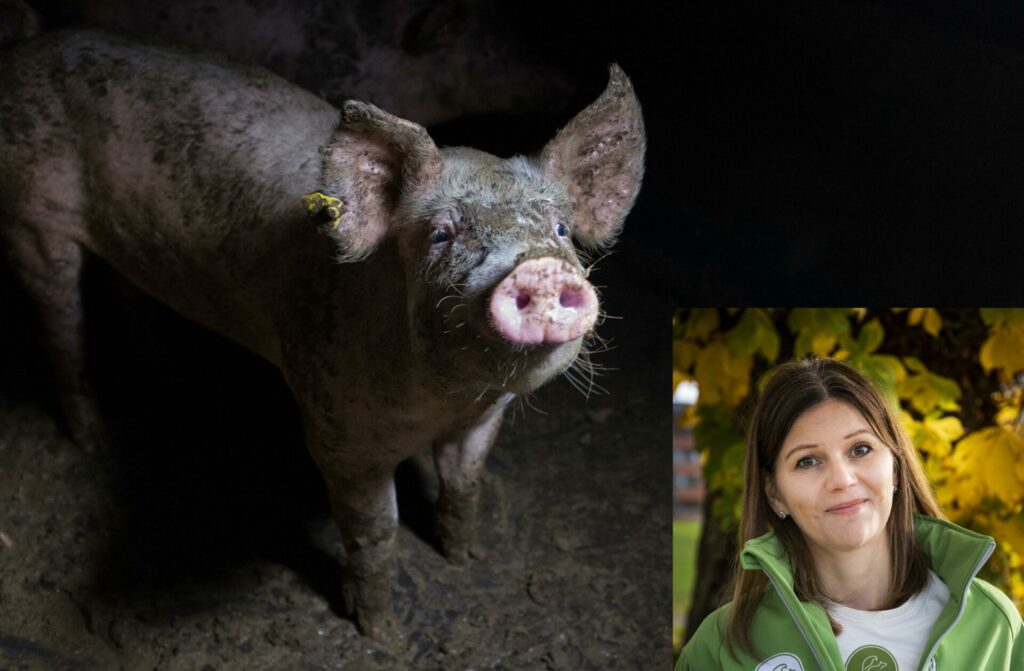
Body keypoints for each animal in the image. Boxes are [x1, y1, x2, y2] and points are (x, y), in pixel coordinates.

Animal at [0, 31, 638, 639]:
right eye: (441, 234)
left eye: (561, 228)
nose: (539, 266)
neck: (439, 405)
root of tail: (24, 49)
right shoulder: (336, 434)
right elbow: (375, 532)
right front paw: (381, 633)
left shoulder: (484, 420)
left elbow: (465, 488)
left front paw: (468, 559)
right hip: (31, 218)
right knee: (62, 329)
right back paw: (91, 440)